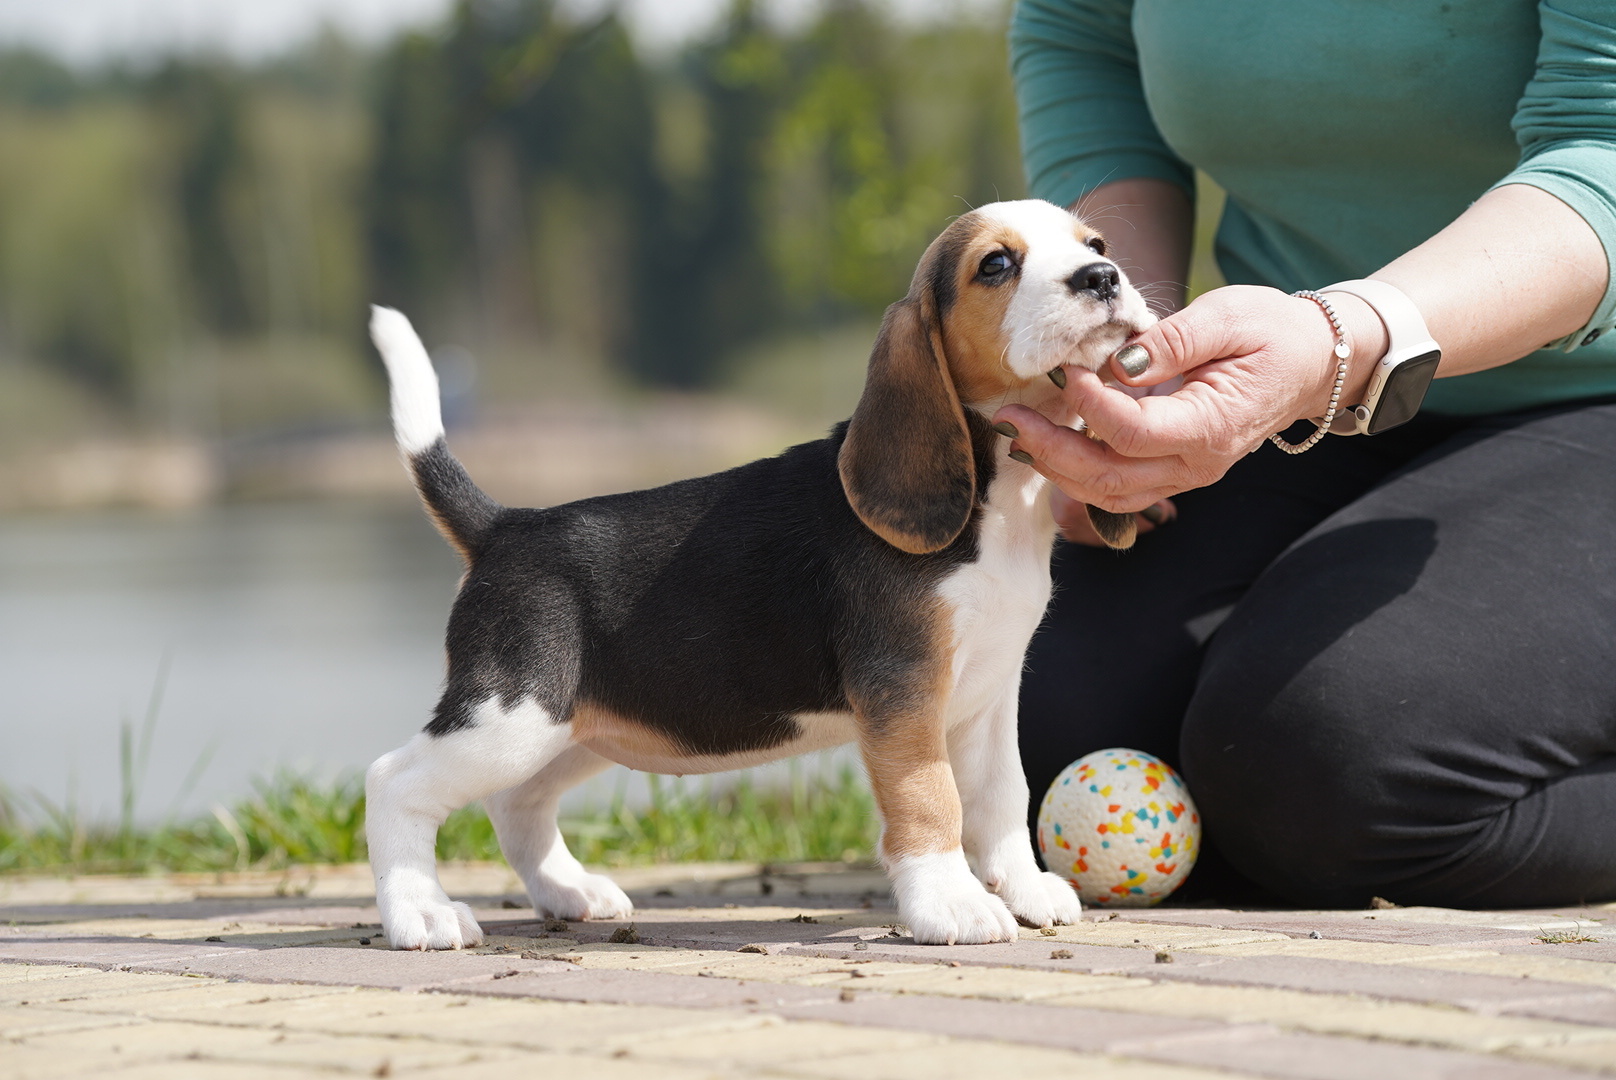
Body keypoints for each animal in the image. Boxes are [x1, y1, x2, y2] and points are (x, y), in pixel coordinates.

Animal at [365, 196, 1157, 944]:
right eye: (995, 265)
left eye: (1096, 243)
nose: (1102, 277)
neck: (1001, 499)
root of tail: (505, 527)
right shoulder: (904, 692)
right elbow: (932, 799)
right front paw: (951, 905)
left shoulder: (987, 694)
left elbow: (1000, 799)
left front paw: (1024, 891)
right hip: (512, 715)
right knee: (393, 783)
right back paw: (421, 914)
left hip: (575, 726)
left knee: (516, 801)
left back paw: (569, 891)